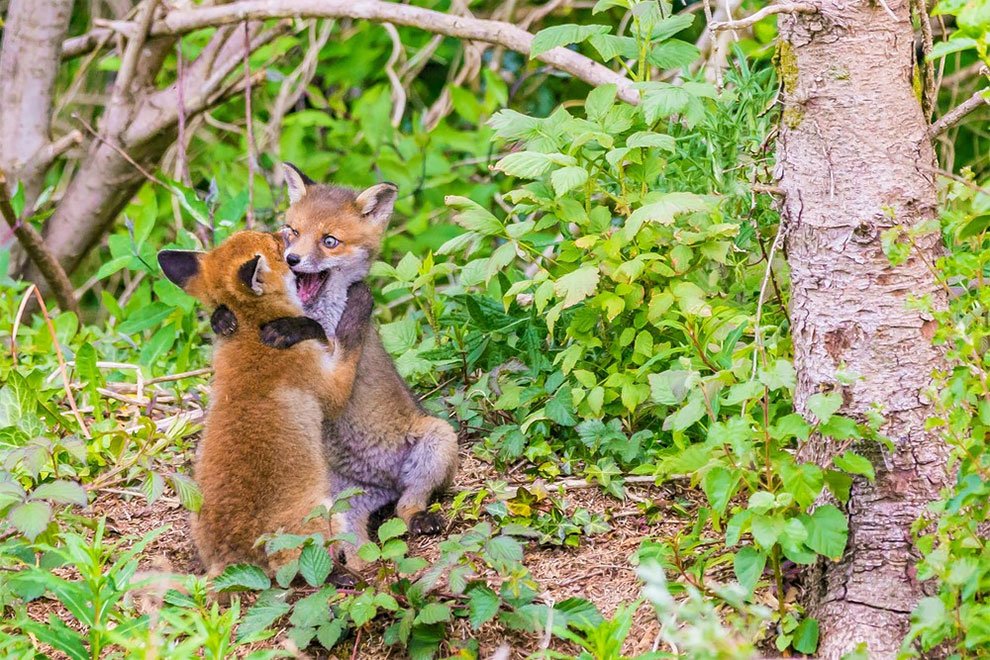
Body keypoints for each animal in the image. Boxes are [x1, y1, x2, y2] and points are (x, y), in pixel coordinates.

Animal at [157, 231, 374, 576]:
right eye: (274, 246)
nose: (283, 232)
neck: (251, 330)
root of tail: (231, 560)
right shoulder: (330, 385)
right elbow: (347, 342)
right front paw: (359, 304)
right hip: (328, 515)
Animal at [219, 164, 460, 568]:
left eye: (329, 241)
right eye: (292, 232)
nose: (292, 260)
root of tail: (381, 484)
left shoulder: (336, 359)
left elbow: (321, 335)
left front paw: (292, 328)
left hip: (438, 441)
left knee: (407, 507)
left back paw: (420, 518)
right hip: (337, 501)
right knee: (359, 549)